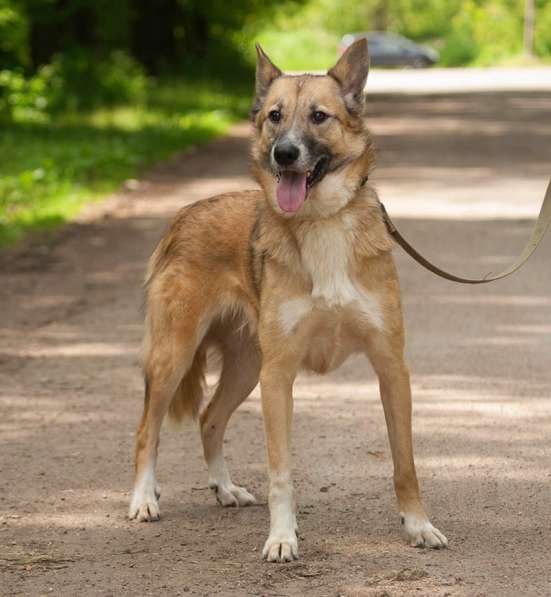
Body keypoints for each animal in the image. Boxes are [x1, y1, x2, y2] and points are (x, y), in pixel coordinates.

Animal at [128, 39, 448, 560]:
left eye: (319, 116)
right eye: (274, 116)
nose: (284, 153)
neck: (321, 221)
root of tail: (184, 214)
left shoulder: (391, 368)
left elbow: (405, 464)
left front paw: (417, 525)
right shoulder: (278, 377)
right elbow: (281, 472)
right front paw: (282, 537)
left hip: (244, 365)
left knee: (208, 418)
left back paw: (225, 489)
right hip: (174, 357)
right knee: (146, 431)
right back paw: (142, 499)